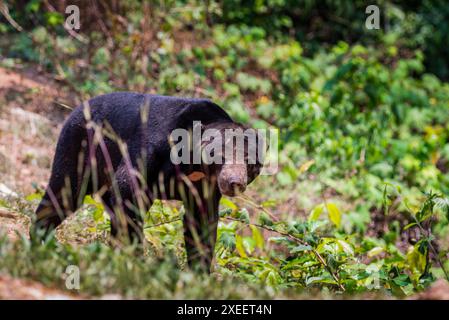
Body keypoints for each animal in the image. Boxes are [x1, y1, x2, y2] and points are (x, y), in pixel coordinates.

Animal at [35, 91, 262, 272]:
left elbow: (201, 222)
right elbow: (127, 188)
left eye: (249, 162)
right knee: (65, 192)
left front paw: (199, 272)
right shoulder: (152, 149)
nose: (234, 182)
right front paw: (134, 256)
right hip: (80, 144)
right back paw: (39, 238)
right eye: (221, 156)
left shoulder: (204, 186)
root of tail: (79, 106)